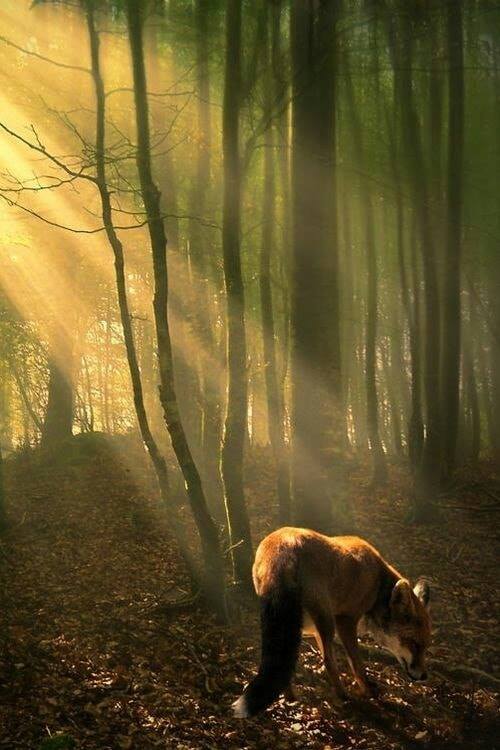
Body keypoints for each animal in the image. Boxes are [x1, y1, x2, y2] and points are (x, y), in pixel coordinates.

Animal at [233, 526, 431, 718]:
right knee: (329, 663)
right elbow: (356, 664)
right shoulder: (345, 620)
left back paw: (290, 697)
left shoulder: (314, 629)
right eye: (414, 644)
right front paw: (368, 691)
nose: (424, 676)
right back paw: (344, 697)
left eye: (425, 646)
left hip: (293, 622)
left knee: (287, 662)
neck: (377, 583)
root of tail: (284, 545)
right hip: (327, 622)